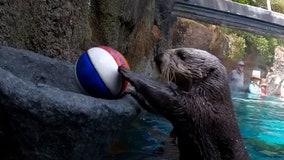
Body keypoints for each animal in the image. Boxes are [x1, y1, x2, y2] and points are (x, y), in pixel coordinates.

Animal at [117, 47, 248, 160]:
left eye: (182, 55)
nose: (158, 57)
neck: (211, 98)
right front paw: (131, 90)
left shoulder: (199, 107)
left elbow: (171, 100)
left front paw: (129, 73)